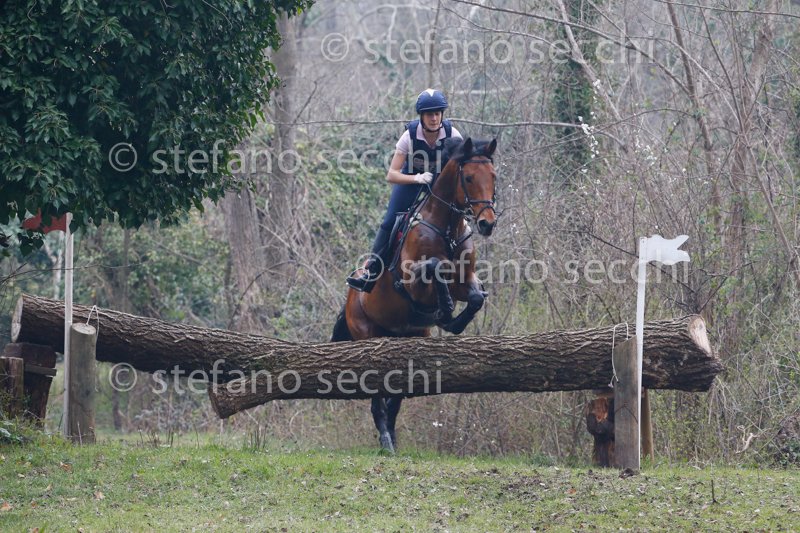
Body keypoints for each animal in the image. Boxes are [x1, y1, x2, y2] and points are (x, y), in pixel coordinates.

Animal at [331, 136, 498, 453]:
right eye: (469, 178)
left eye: (494, 176)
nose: (487, 223)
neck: (447, 228)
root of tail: (349, 297)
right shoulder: (410, 281)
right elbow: (434, 266)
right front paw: (445, 308)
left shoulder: (465, 279)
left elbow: (475, 298)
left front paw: (451, 320)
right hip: (367, 334)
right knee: (377, 395)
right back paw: (385, 439)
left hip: (410, 337)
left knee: (397, 393)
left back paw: (392, 435)